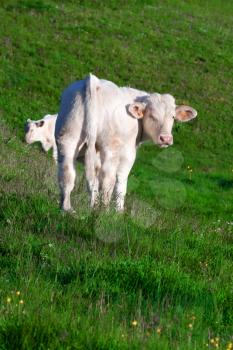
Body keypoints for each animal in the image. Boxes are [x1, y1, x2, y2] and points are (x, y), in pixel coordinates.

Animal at [55, 75, 198, 212]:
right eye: (152, 116)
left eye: (173, 117)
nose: (166, 139)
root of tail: (92, 81)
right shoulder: (128, 153)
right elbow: (121, 182)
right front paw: (118, 211)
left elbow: (94, 181)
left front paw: (92, 206)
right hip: (110, 148)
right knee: (108, 179)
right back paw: (104, 211)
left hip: (68, 137)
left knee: (67, 172)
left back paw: (66, 208)